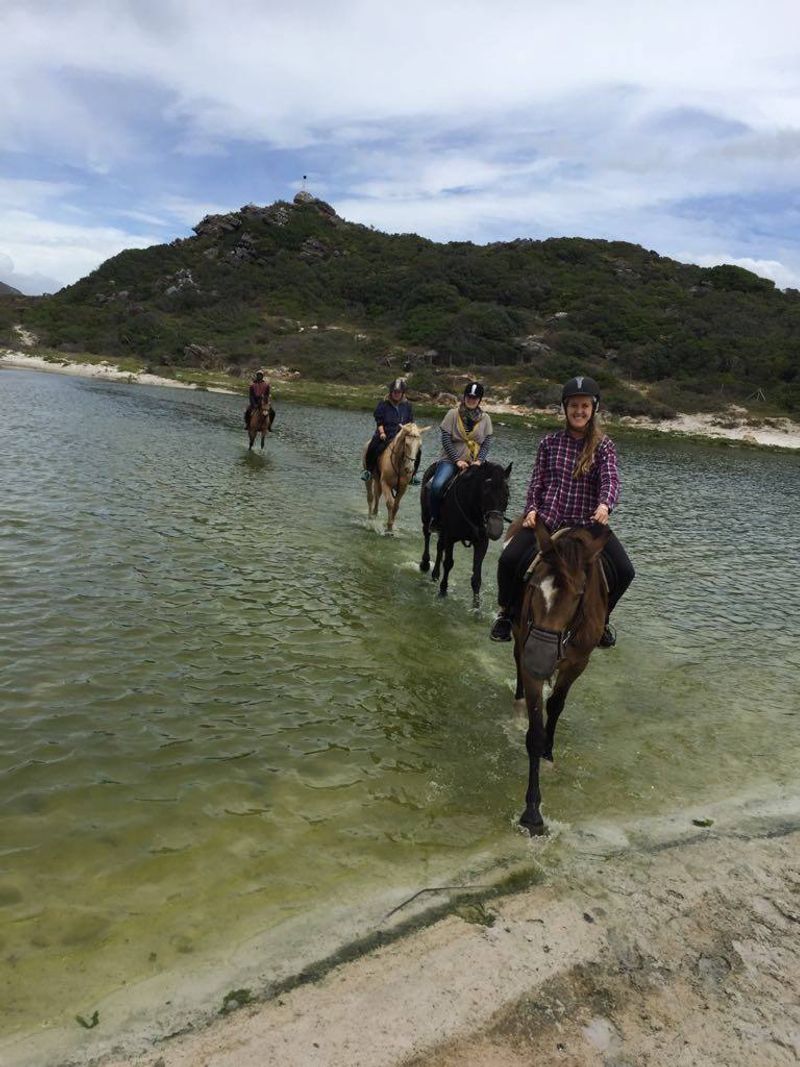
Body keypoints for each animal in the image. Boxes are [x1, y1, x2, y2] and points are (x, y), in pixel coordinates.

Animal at [419, 461, 512, 604]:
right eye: (485, 491)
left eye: (506, 493)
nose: (495, 530)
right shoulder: (451, 537)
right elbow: (448, 563)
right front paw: (443, 590)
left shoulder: (481, 543)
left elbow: (476, 575)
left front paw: (476, 604)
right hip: (427, 518)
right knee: (427, 535)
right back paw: (425, 563)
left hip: (442, 531)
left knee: (440, 547)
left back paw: (435, 575)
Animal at [511, 518, 610, 835]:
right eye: (532, 586)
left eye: (578, 595)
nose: (540, 660)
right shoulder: (529, 653)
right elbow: (534, 733)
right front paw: (532, 812)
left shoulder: (577, 664)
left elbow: (555, 706)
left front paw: (549, 752)